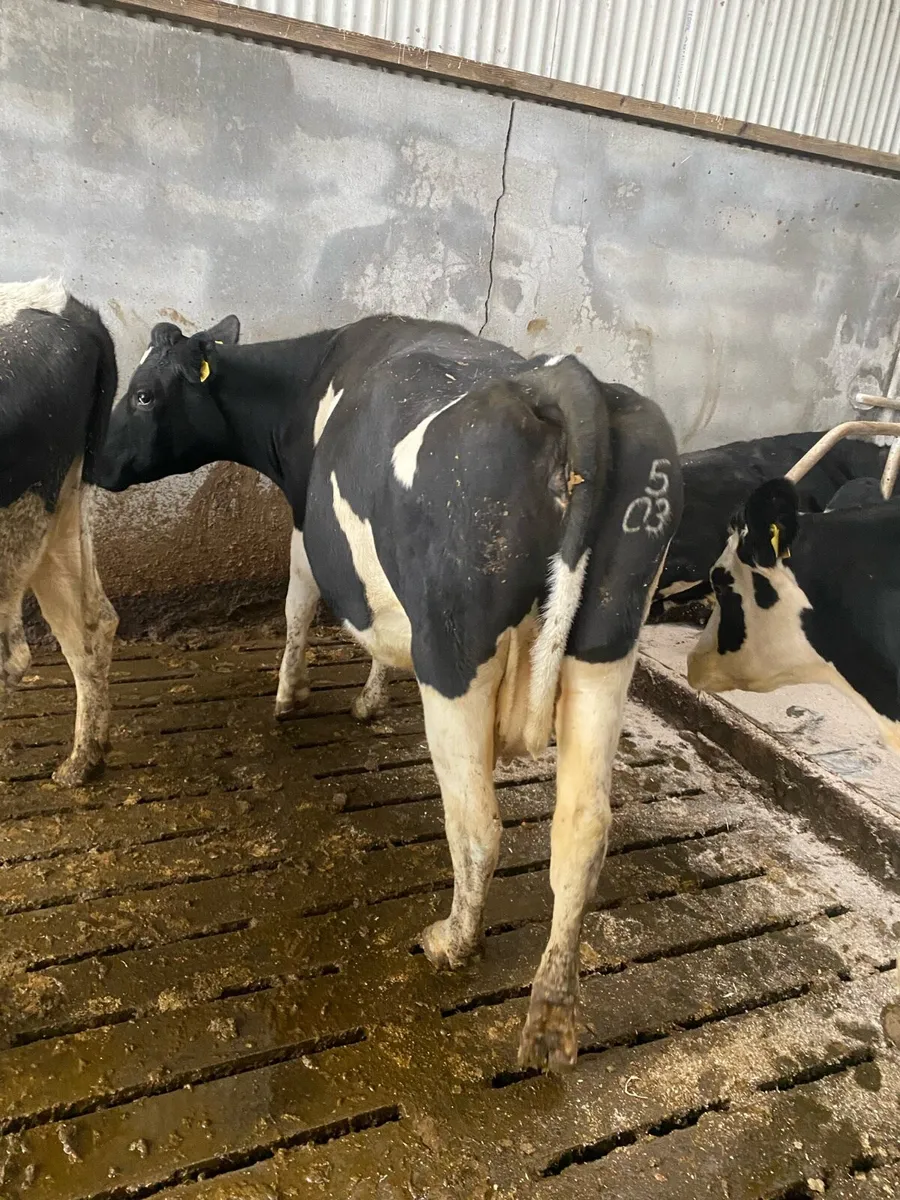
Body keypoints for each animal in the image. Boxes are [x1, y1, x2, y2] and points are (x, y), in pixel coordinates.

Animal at [89, 311, 682, 1070]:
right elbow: (376, 633)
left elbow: (298, 605)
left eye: (141, 394)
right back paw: (551, 1018)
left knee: (478, 824)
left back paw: (452, 942)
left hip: (455, 656)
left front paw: (288, 697)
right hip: (607, 647)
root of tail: (565, 380)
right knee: (582, 831)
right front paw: (370, 698)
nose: (96, 463)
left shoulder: (308, 523)